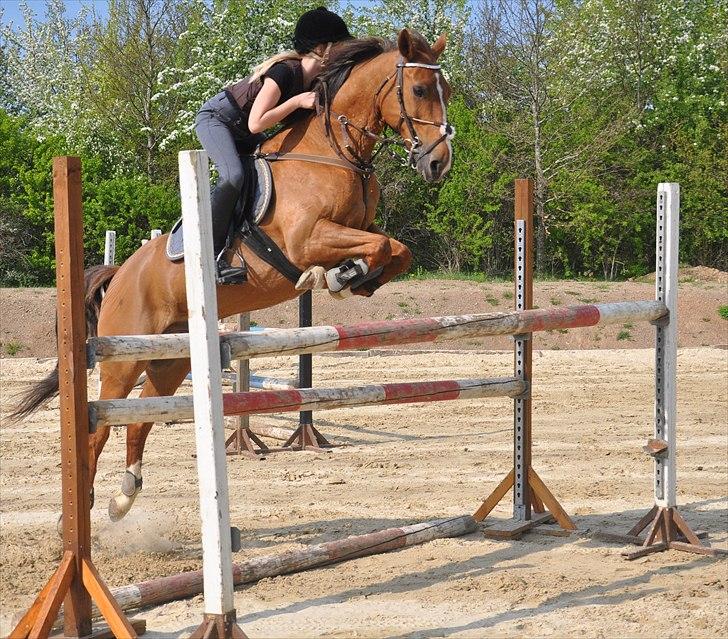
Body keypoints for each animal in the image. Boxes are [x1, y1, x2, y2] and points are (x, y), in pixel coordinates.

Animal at [12, 29, 453, 521]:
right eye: (419, 90)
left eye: (448, 92)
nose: (439, 164)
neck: (335, 153)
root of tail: (120, 273)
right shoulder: (305, 240)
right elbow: (377, 249)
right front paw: (334, 277)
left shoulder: (360, 229)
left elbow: (397, 250)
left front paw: (355, 278)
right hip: (123, 358)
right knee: (101, 426)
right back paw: (81, 509)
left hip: (172, 357)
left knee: (141, 419)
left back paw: (124, 495)